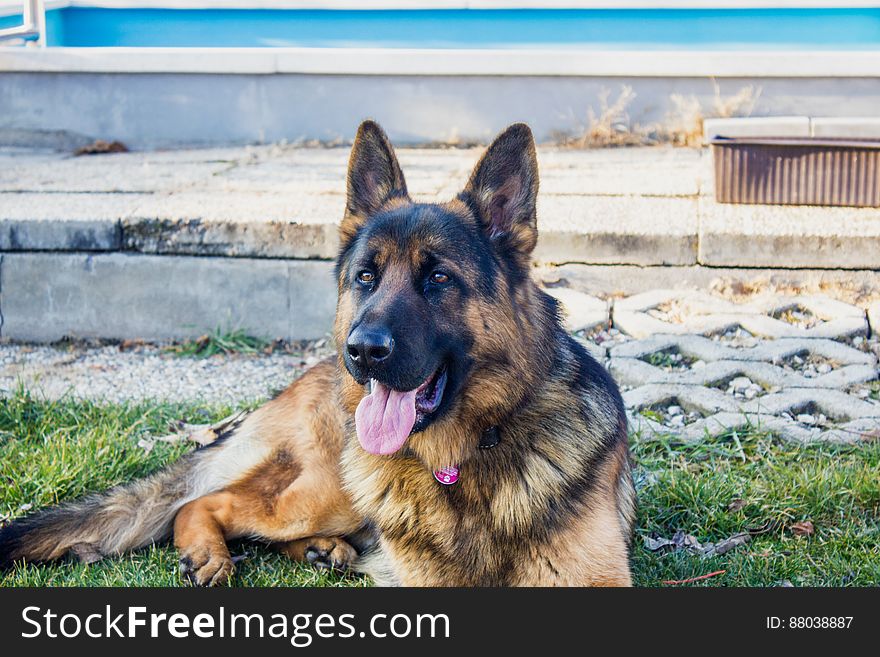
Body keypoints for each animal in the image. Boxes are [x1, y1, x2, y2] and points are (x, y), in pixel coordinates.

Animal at [0, 120, 636, 588]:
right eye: (366, 277)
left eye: (438, 278)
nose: (363, 350)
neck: (464, 457)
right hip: (328, 491)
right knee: (204, 503)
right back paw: (213, 552)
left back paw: (323, 552)